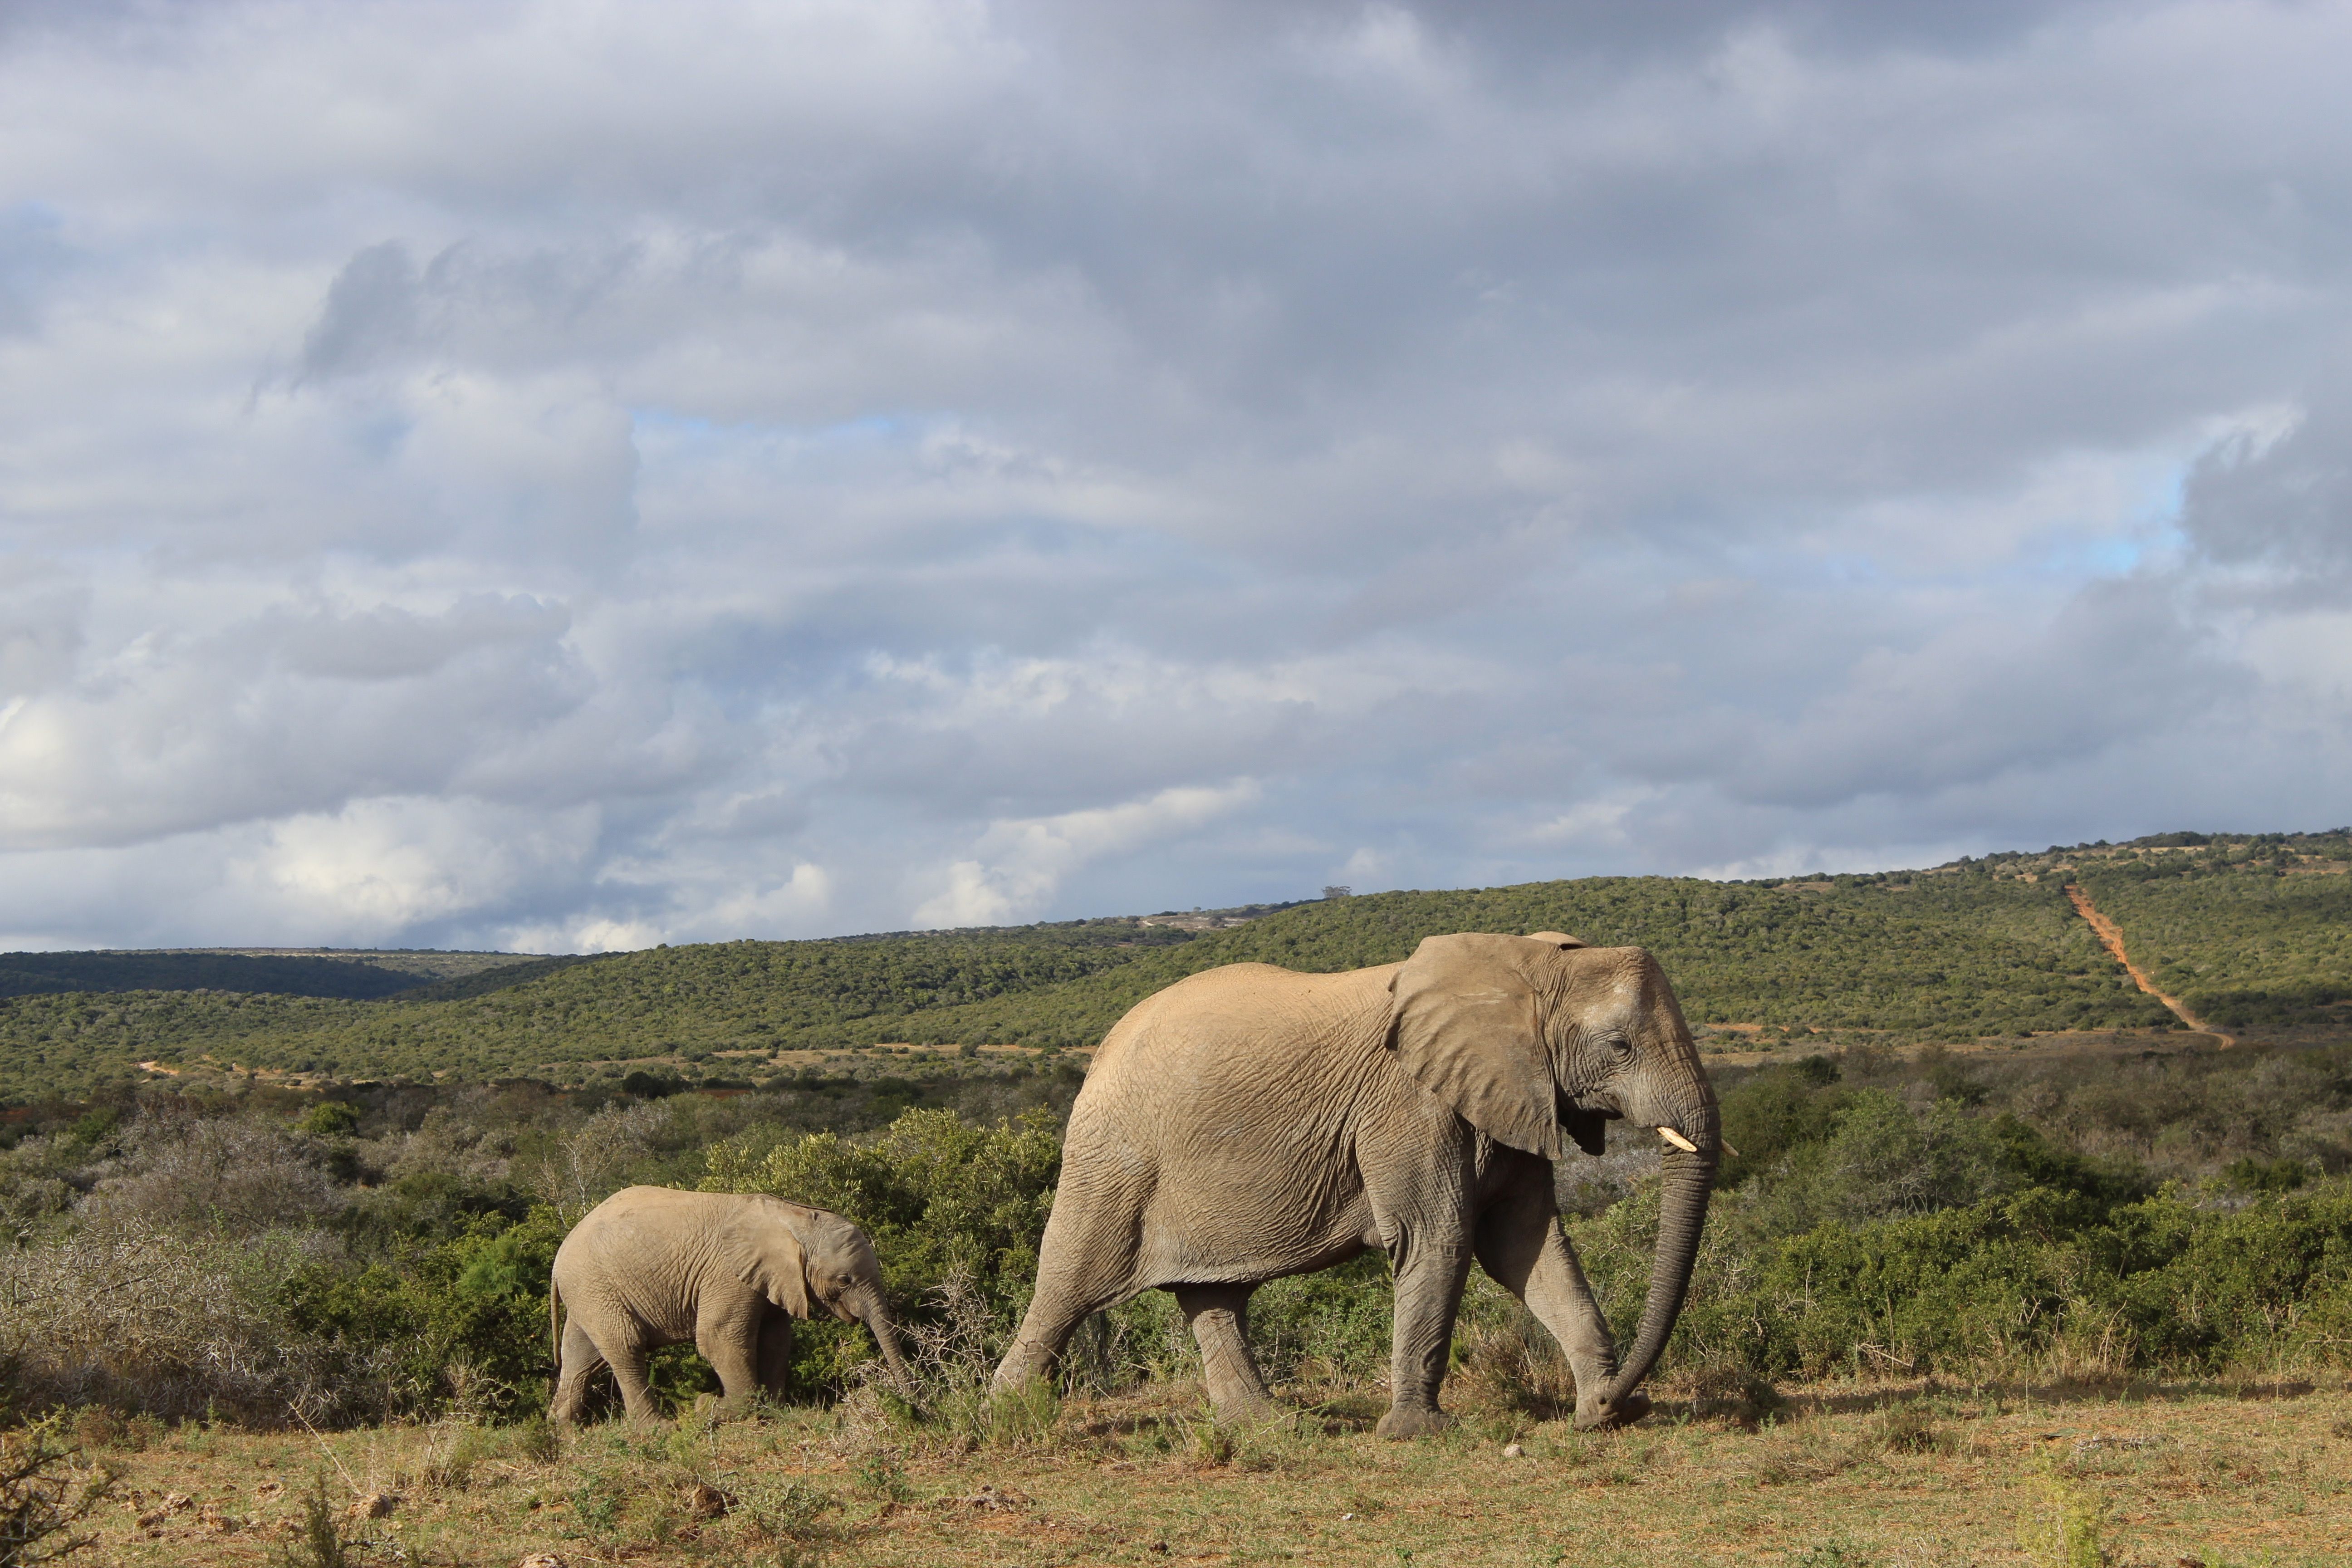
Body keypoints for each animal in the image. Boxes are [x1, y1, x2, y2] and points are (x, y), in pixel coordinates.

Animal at [549, 1186, 911, 1424]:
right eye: (844, 1281)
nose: (911, 1403)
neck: (793, 1217)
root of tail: (560, 1255)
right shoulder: (727, 1276)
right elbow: (718, 1340)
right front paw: (707, 1407)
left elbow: (777, 1341)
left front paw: (778, 1413)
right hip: (595, 1286)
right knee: (626, 1348)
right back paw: (660, 1430)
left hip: (589, 1292)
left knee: (581, 1355)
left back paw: (569, 1434)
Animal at [990, 931, 1720, 1436]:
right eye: (1621, 1047)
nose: (1619, 1399)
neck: (1524, 963)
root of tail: (1103, 1048)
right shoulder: (1409, 1103)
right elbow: (1439, 1239)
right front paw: (1420, 1435)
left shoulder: (1510, 1095)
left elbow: (1526, 1248)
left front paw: (1601, 1415)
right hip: (1114, 1157)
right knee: (1067, 1283)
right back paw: (1005, 1417)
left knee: (1212, 1295)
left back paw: (1270, 1427)